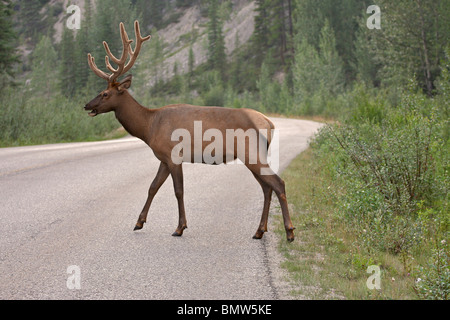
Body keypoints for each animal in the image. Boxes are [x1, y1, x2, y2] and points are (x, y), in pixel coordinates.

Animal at [84, 21, 296, 241]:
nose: (86, 105)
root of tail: (269, 123)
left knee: (278, 183)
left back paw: (289, 231)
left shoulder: (174, 155)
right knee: (266, 187)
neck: (149, 126)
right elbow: (153, 187)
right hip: (254, 155)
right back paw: (259, 231)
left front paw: (180, 227)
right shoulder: (163, 159)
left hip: (251, 153)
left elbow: (178, 191)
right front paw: (139, 222)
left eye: (105, 93)